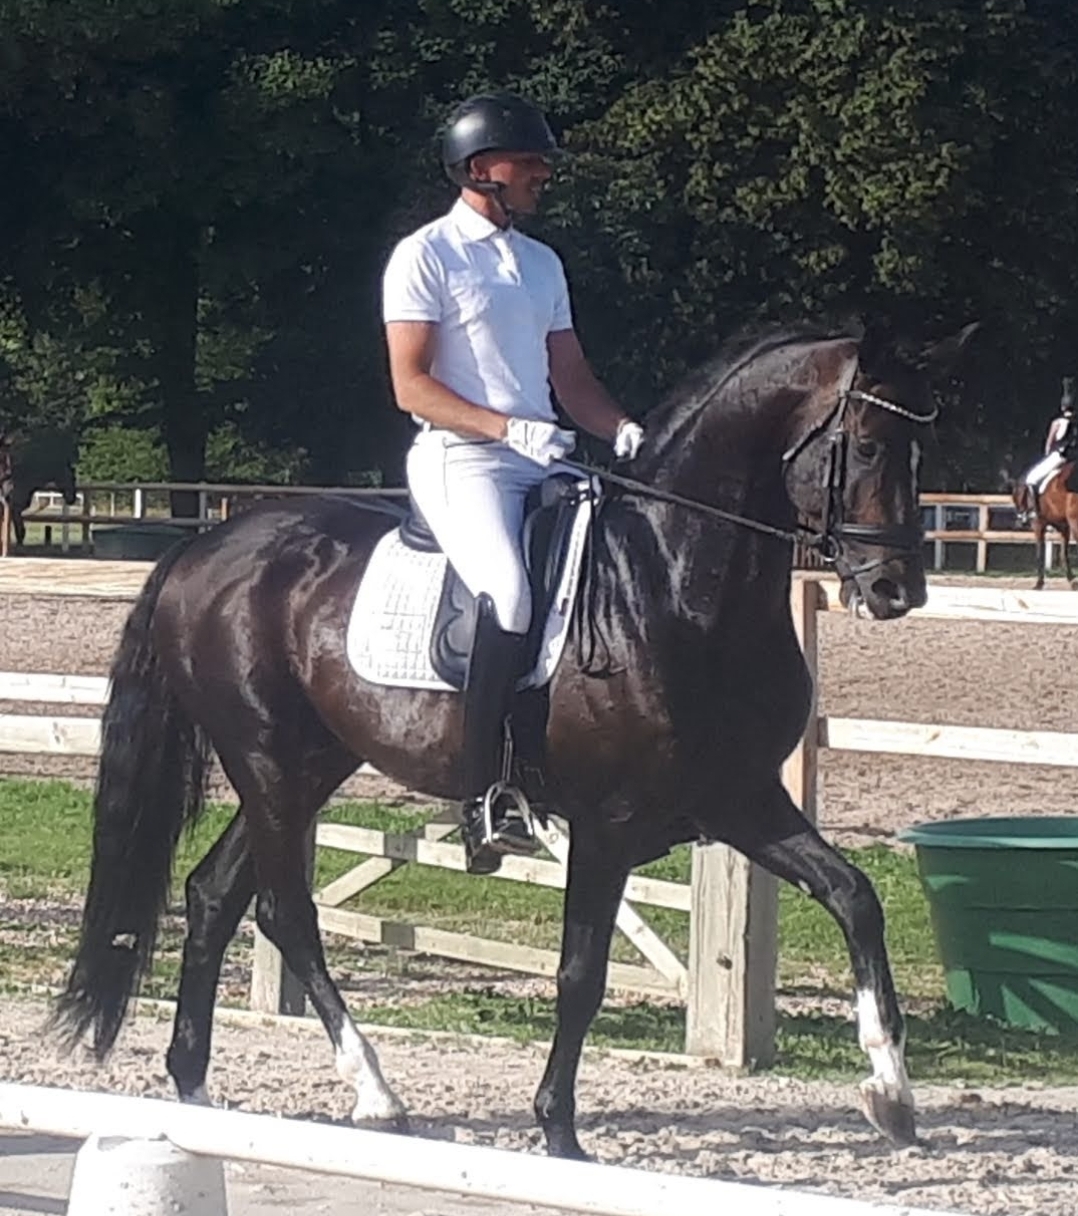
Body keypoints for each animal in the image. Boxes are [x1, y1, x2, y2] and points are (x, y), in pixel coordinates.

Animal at [54, 323, 972, 1157]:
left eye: (922, 452)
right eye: (865, 445)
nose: (897, 589)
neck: (672, 586)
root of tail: (202, 549)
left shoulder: (739, 801)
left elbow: (856, 896)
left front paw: (891, 1093)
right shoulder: (608, 826)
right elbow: (580, 974)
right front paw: (559, 1132)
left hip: (306, 768)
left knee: (214, 895)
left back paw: (193, 1085)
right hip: (271, 764)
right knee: (285, 912)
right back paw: (376, 1094)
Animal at [1011, 459, 1078, 588]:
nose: (1020, 520)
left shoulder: (1038, 525)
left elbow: (1040, 554)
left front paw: (1039, 583)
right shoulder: (1064, 527)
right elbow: (1063, 554)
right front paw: (1072, 580)